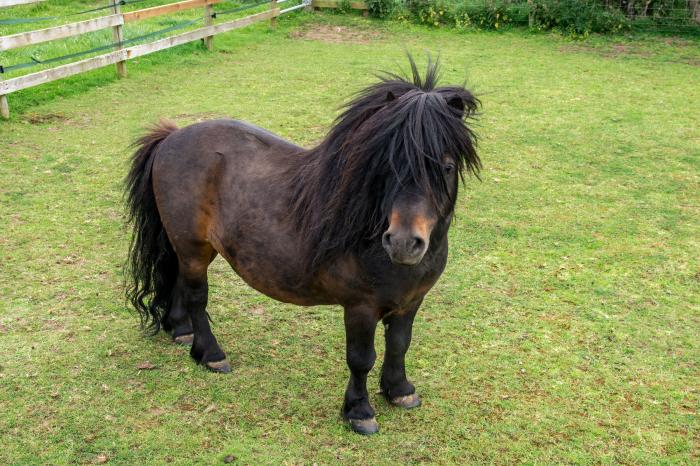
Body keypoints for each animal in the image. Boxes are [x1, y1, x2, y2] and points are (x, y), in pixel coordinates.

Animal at [123, 57, 478, 434]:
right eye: (387, 166)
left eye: (447, 167)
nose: (403, 242)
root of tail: (172, 137)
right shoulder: (360, 307)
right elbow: (361, 359)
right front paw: (359, 411)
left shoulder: (411, 302)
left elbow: (399, 345)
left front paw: (400, 391)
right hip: (193, 249)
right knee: (196, 297)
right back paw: (211, 354)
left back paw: (180, 330)